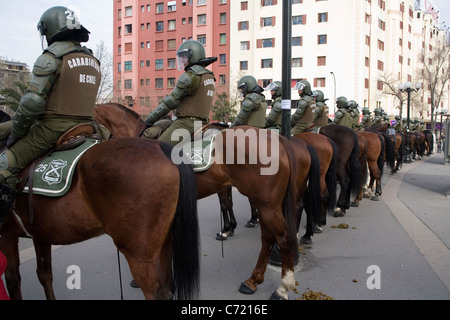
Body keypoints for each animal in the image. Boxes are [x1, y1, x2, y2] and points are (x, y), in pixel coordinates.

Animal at [0, 138, 200, 300]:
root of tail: (159, 146)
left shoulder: (7, 234)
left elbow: (12, 277)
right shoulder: (40, 236)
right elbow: (44, 274)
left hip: (140, 256)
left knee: (155, 293)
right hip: (165, 244)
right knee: (167, 289)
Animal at [93, 103, 300, 300]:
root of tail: (277, 138)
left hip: (267, 205)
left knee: (284, 238)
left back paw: (282, 288)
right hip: (265, 204)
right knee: (267, 238)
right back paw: (252, 281)